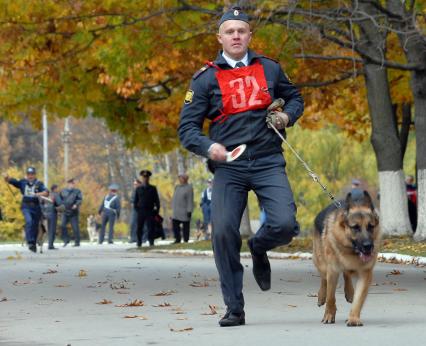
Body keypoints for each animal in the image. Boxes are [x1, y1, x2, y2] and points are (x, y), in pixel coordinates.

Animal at [312, 191, 382, 326]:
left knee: (346, 274)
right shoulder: (333, 271)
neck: (351, 251)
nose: (368, 246)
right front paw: (329, 315)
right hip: (321, 262)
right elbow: (330, 297)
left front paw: (353, 318)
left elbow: (359, 299)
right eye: (355, 227)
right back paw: (321, 296)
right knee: (324, 278)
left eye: (370, 226)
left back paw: (350, 293)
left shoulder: (365, 274)